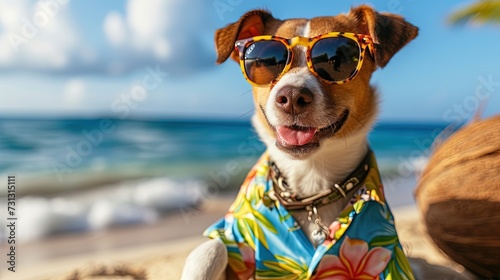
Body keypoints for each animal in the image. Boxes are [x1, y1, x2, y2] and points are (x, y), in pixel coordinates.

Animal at [183, 5, 418, 278]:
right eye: (265, 60)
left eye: (337, 60)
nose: (293, 96)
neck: (310, 183)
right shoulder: (233, 236)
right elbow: (211, 249)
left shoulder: (387, 256)